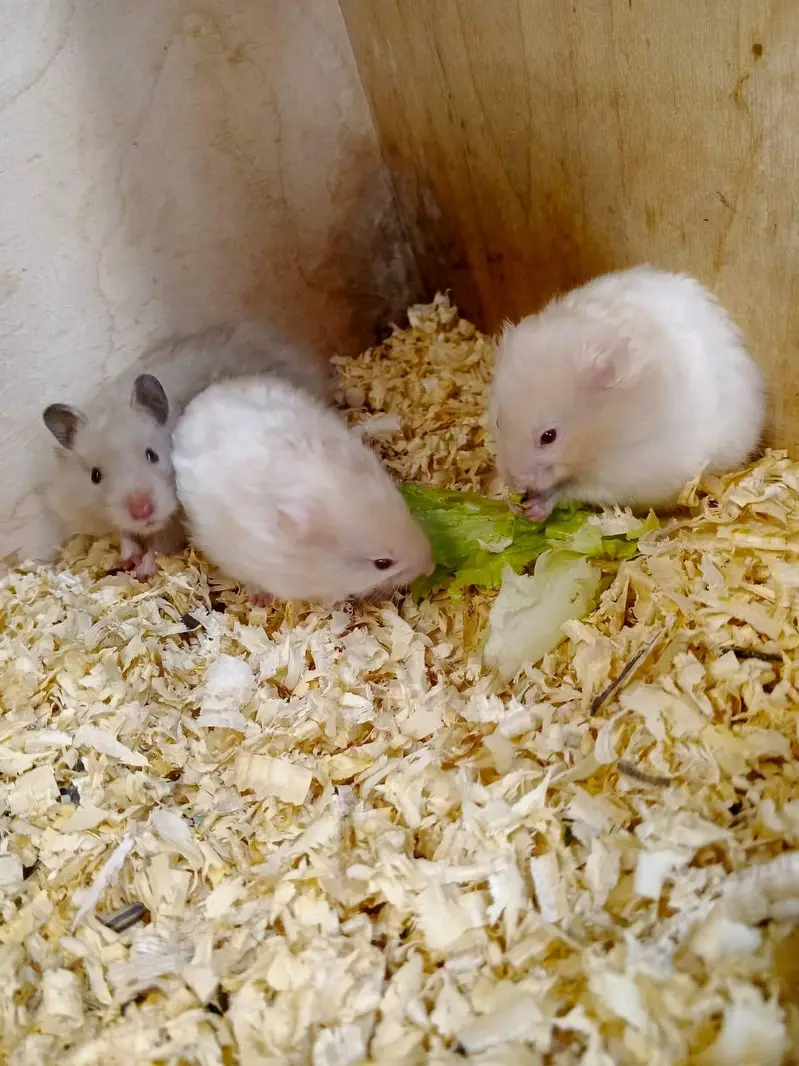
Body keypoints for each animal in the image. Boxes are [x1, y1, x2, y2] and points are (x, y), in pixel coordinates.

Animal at [40, 322, 330, 579]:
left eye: (152, 455)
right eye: (95, 476)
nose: (142, 511)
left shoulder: (177, 523)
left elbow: (160, 546)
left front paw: (144, 569)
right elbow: (124, 534)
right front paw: (128, 557)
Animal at [490, 265, 765, 520]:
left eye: (549, 436)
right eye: (498, 422)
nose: (513, 483)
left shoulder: (627, 474)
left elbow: (569, 491)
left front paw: (532, 510)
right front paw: (512, 504)